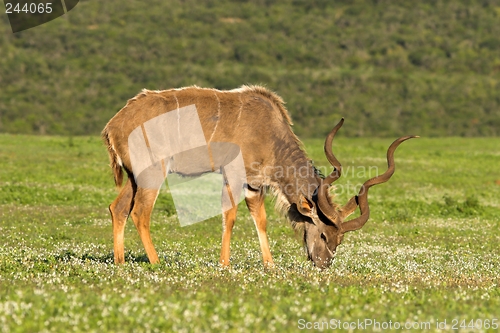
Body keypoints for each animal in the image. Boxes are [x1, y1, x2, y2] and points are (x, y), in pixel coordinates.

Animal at [100, 85, 414, 268]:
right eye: (324, 234)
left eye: (340, 241)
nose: (323, 264)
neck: (270, 132)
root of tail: (113, 125)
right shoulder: (233, 174)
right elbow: (230, 217)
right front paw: (225, 264)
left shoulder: (254, 184)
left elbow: (260, 220)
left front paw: (269, 265)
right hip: (153, 173)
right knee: (140, 212)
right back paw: (156, 262)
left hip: (135, 177)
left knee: (118, 208)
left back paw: (120, 262)